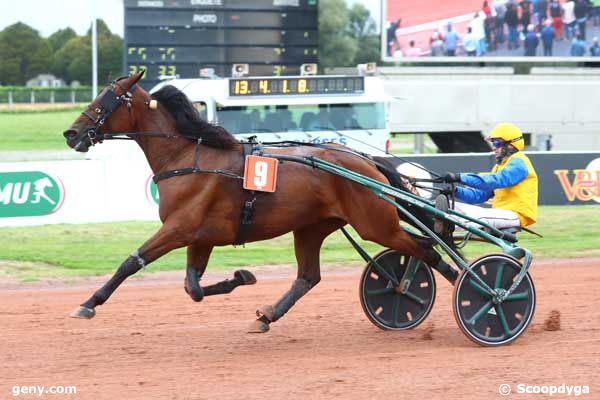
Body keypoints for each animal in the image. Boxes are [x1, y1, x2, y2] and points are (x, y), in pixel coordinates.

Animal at [64, 72, 450, 334]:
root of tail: (367, 161)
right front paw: (241, 277)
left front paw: (88, 303)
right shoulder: (200, 236)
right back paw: (268, 315)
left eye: (106, 100)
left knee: (426, 249)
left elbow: (132, 262)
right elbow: (193, 287)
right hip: (312, 227)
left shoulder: (179, 228)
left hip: (375, 224)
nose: (71, 133)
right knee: (308, 277)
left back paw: (457, 292)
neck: (189, 158)